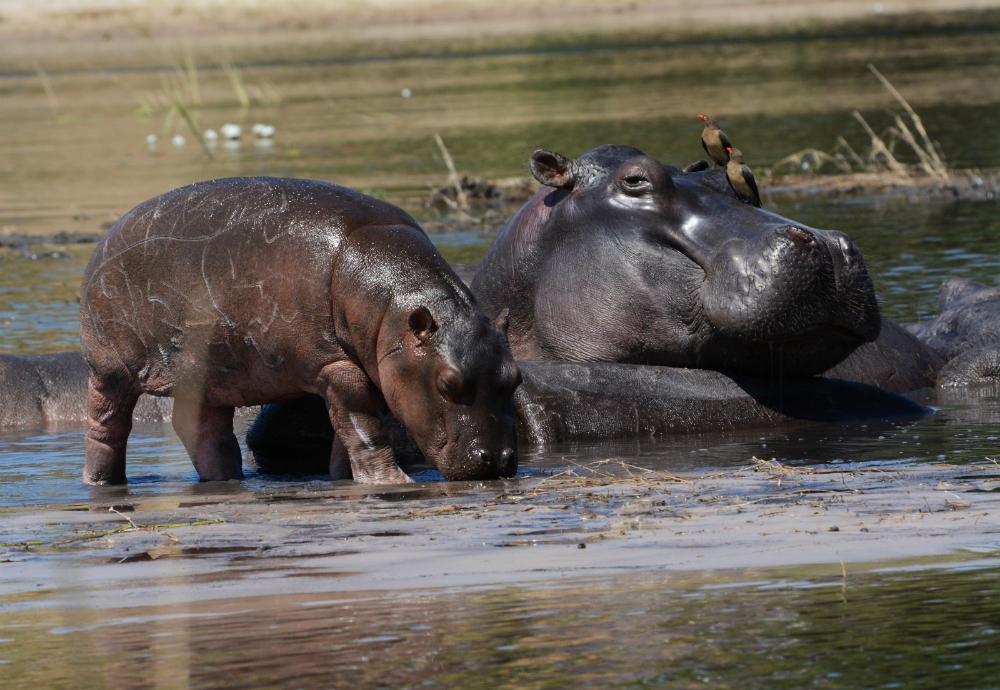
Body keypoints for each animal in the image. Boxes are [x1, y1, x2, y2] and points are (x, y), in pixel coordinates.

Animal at [76, 177, 524, 484]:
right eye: (448, 384)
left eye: (515, 378)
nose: (498, 461)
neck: (391, 306)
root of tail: (104, 240)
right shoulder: (334, 366)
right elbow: (365, 426)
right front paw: (393, 481)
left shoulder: (375, 370)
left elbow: (349, 431)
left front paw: (346, 479)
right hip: (109, 369)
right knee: (106, 427)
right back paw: (101, 483)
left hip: (211, 372)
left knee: (202, 429)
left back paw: (227, 479)